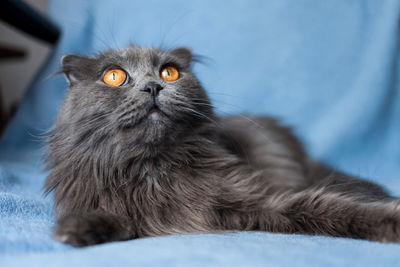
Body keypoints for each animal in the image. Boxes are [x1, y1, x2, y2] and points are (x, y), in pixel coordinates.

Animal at [45, 45, 400, 247]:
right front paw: (77, 230)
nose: (153, 86)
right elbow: (113, 218)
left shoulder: (261, 197)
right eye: (115, 76)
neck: (155, 169)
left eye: (169, 72)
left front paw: (392, 220)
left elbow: (331, 208)